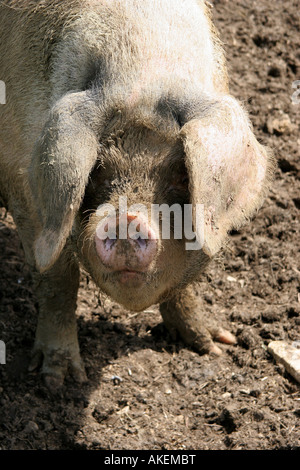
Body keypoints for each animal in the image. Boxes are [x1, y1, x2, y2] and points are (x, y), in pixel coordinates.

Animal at [0, 0, 274, 388]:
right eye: (97, 168)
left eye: (182, 174)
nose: (125, 218)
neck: (145, 75)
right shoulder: (23, 182)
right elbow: (57, 277)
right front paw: (60, 382)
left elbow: (182, 286)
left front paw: (217, 345)